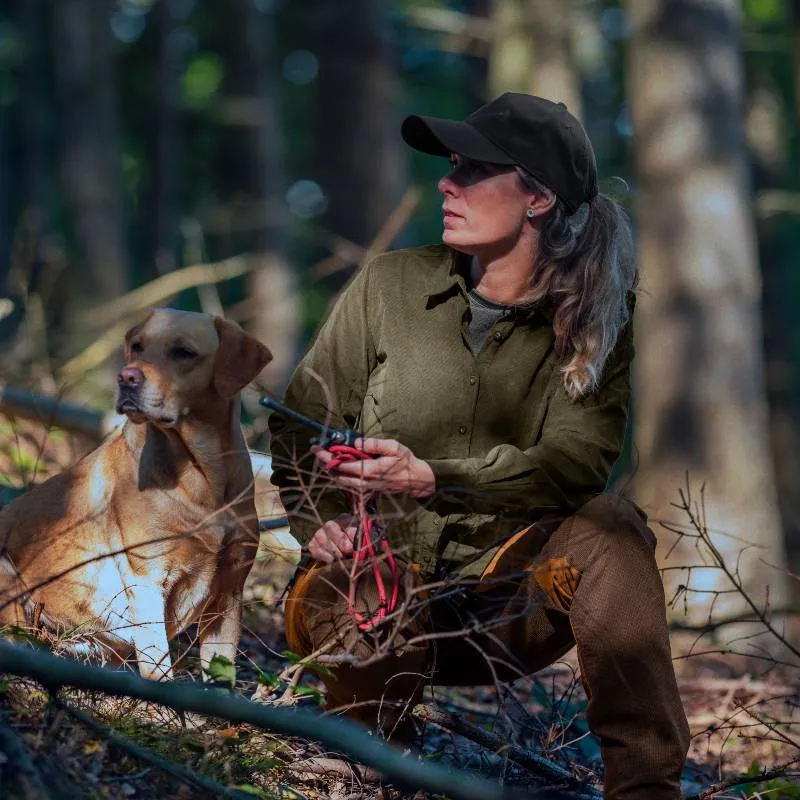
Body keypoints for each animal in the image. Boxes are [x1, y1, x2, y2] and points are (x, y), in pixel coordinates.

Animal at [0, 310, 272, 680]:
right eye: (138, 346)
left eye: (184, 352)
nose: (126, 377)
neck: (202, 477)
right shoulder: (147, 582)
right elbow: (159, 670)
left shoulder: (229, 592)